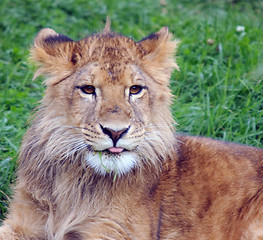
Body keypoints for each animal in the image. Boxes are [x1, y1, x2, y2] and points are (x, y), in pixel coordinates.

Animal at [0, 21, 263, 239]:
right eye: (88, 89)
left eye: (135, 89)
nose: (116, 132)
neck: (76, 181)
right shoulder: (21, 221)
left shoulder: (114, 232)